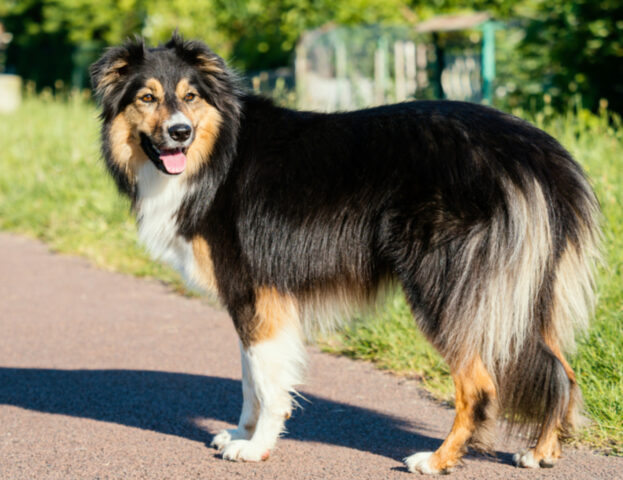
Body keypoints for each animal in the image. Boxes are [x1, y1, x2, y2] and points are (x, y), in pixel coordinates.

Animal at [90, 35, 604, 474]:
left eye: (191, 97)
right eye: (147, 98)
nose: (179, 133)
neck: (217, 154)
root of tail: (533, 151)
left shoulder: (256, 292)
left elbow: (265, 382)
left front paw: (256, 447)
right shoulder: (250, 300)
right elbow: (249, 379)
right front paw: (240, 434)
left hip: (448, 289)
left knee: (480, 385)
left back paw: (437, 460)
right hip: (525, 293)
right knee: (561, 369)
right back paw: (540, 451)